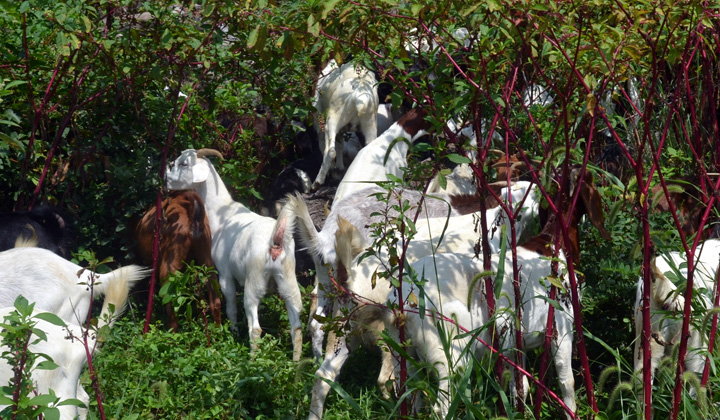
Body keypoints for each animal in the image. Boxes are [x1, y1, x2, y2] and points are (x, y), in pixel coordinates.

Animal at [166, 148, 303, 361]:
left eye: (184, 164)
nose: (166, 176)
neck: (223, 213)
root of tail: (275, 241)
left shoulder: (225, 274)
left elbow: (230, 307)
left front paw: (233, 333)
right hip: (288, 280)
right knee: (296, 327)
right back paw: (296, 363)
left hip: (254, 282)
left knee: (255, 328)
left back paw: (252, 361)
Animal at [312, 61, 379, 189]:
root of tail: (360, 97)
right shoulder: (341, 131)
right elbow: (340, 146)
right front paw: (339, 168)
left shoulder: (319, 124)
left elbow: (323, 146)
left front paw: (332, 170)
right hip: (370, 122)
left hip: (333, 119)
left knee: (330, 151)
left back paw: (317, 183)